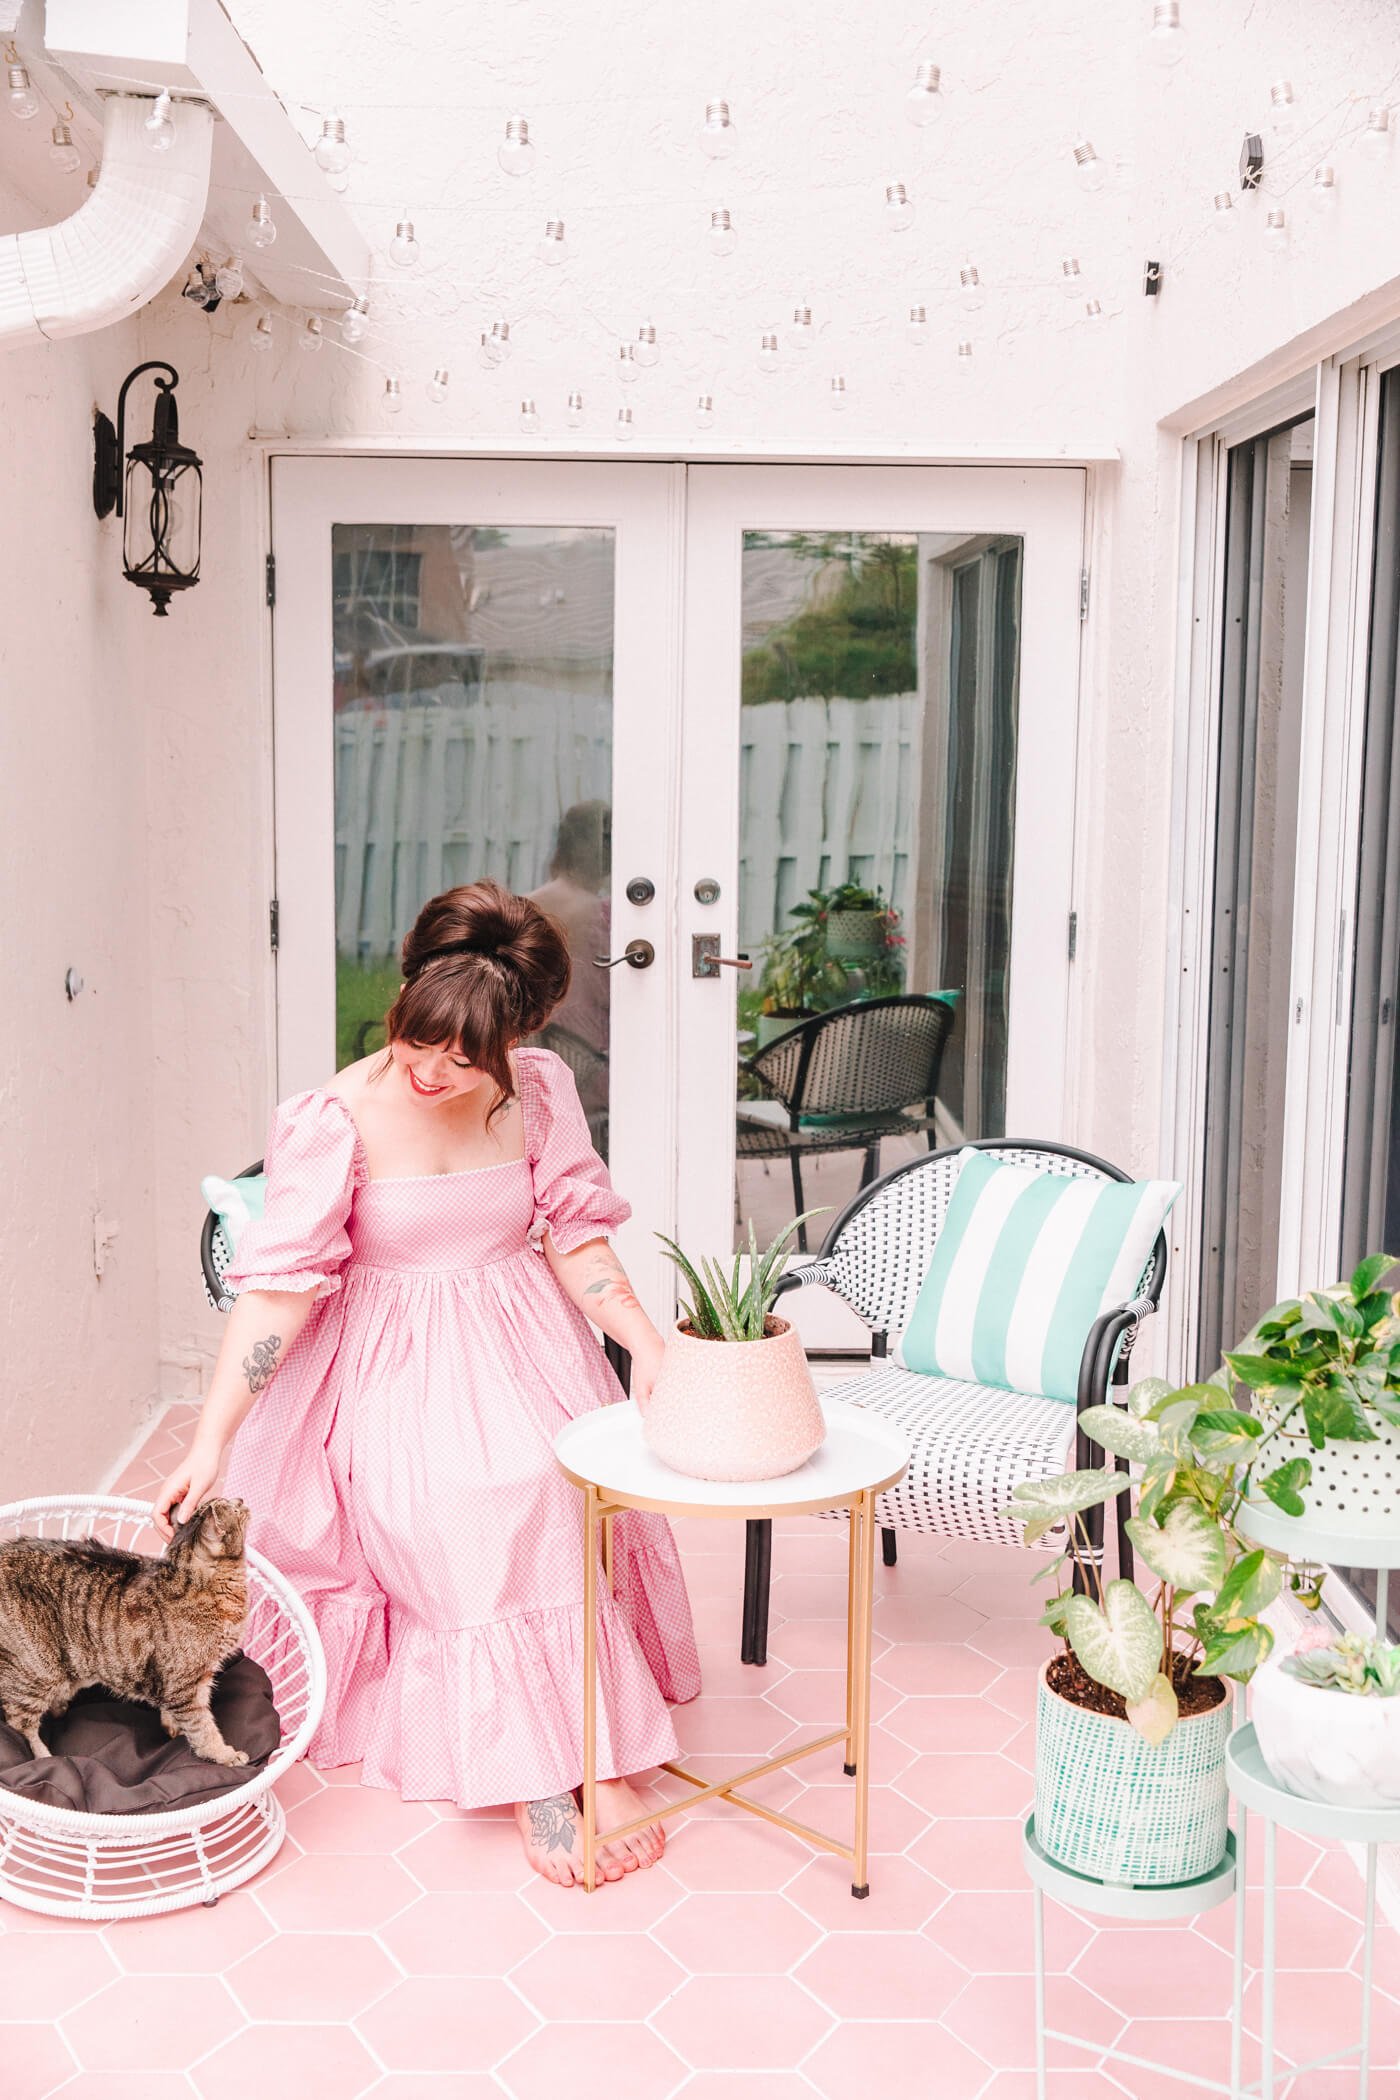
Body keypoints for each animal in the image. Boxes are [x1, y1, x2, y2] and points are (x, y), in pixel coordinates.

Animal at [0, 1503, 251, 1763]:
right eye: (233, 1508)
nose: (241, 1500)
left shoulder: (180, 1680)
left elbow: (173, 1711)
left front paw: (172, 1726)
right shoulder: (186, 1686)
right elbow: (203, 1728)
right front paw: (224, 1755)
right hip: (36, 1673)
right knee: (19, 1723)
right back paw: (43, 1755)